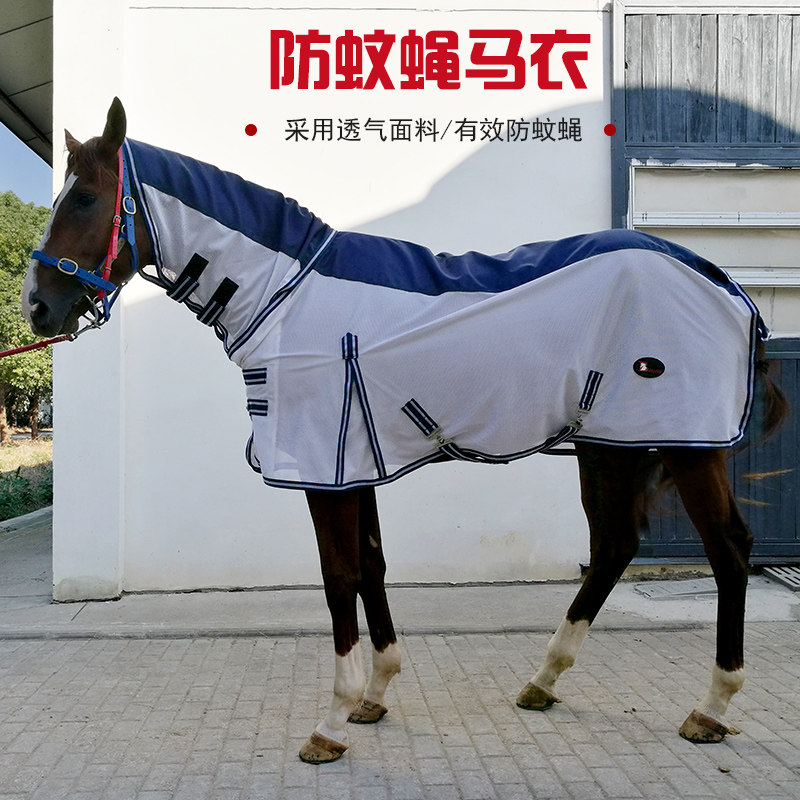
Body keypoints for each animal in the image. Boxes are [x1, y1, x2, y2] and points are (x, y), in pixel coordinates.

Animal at [23, 98, 788, 764]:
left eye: (84, 198)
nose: (36, 307)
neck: (289, 294)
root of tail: (719, 278)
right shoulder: (352, 466)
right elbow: (372, 567)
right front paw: (376, 694)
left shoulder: (323, 471)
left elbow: (339, 579)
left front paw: (331, 723)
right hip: (610, 445)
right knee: (613, 547)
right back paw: (543, 681)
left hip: (686, 447)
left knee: (727, 550)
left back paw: (711, 708)